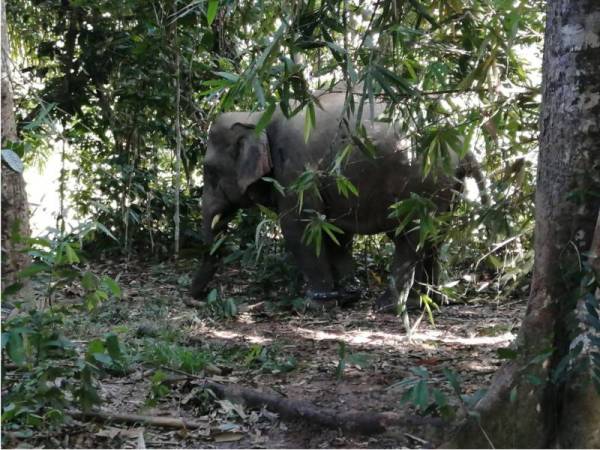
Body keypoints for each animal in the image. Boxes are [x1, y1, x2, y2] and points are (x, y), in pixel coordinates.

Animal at [190, 91, 486, 310]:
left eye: (209, 170)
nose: (196, 296)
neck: (258, 114)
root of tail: (464, 145)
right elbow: (335, 231)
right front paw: (348, 295)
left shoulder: (298, 172)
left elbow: (300, 227)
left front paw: (316, 304)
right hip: (446, 188)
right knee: (434, 238)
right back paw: (430, 301)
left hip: (422, 186)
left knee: (410, 237)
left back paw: (389, 306)